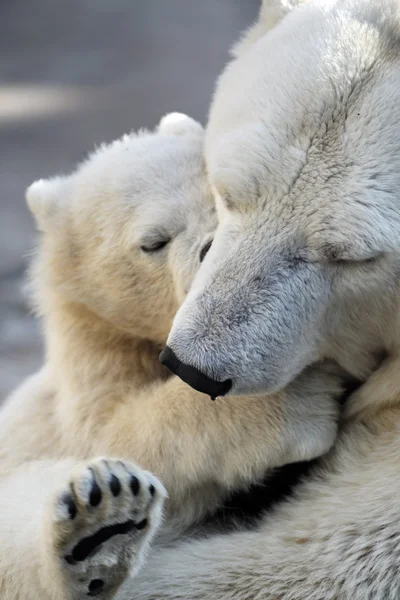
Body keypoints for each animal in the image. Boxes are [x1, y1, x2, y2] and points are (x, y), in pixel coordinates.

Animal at [0, 115, 344, 596]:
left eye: (222, 201)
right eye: (154, 242)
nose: (213, 247)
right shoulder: (91, 356)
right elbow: (112, 431)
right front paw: (296, 401)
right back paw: (99, 533)